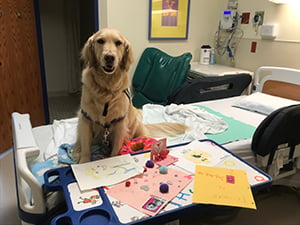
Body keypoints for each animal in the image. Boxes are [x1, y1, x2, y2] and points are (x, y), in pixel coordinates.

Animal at [72, 28, 188, 163]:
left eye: (118, 43)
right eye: (100, 41)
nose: (109, 57)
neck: (106, 87)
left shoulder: (120, 125)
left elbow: (116, 150)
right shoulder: (86, 119)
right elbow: (86, 146)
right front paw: (83, 162)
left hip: (137, 121)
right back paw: (76, 149)